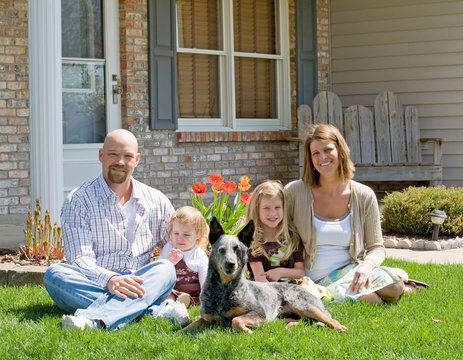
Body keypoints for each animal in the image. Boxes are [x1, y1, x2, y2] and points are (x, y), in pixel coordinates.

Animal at [181, 215, 348, 334]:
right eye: (221, 250)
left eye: (237, 249)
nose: (230, 263)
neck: (223, 290)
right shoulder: (206, 319)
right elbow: (189, 326)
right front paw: (177, 335)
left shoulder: (258, 313)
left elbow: (236, 320)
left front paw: (247, 331)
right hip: (286, 316)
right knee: (303, 321)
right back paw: (290, 327)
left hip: (303, 305)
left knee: (328, 319)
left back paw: (340, 327)